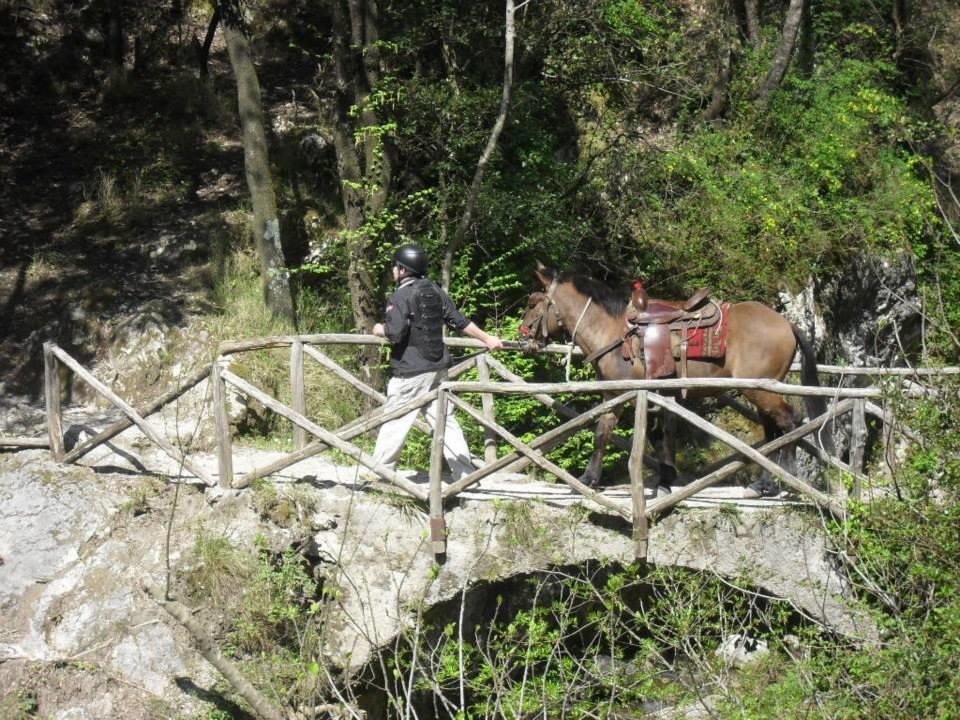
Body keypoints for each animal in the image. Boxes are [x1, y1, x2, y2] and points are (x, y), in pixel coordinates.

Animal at [516, 264, 824, 496]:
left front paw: (590, 479)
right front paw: (663, 481)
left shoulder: (623, 395)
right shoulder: (642, 394)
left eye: (532, 303)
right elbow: (649, 437)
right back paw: (764, 483)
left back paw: (785, 479)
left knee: (789, 422)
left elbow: (611, 434)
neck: (611, 332)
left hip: (761, 390)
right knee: (773, 430)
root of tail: (786, 324)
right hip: (761, 390)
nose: (522, 336)